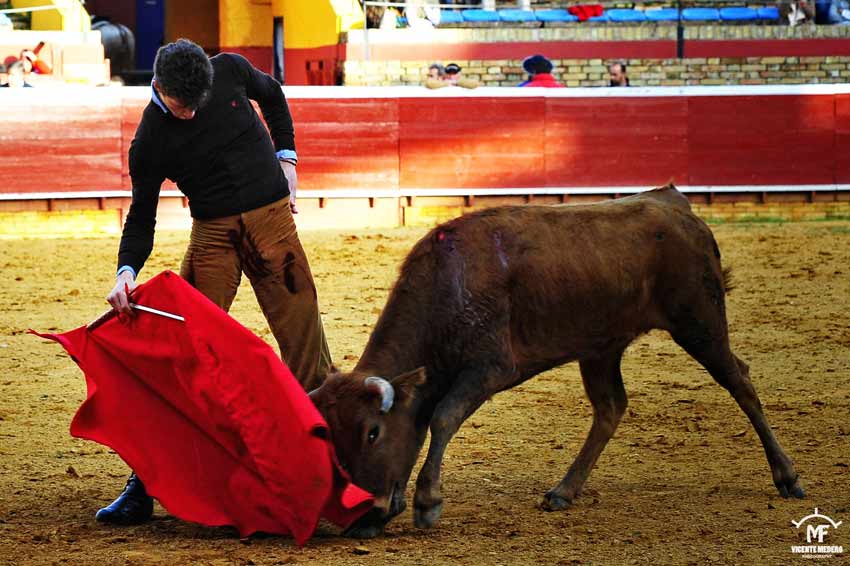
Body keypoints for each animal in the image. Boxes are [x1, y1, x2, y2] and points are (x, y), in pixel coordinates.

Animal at [310, 186, 800, 540]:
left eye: (373, 432)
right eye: (332, 438)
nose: (363, 514)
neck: (448, 285)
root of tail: (676, 204)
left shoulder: (488, 368)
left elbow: (443, 418)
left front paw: (428, 503)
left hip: (700, 322)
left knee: (741, 382)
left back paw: (788, 477)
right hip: (601, 347)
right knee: (610, 407)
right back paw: (564, 491)